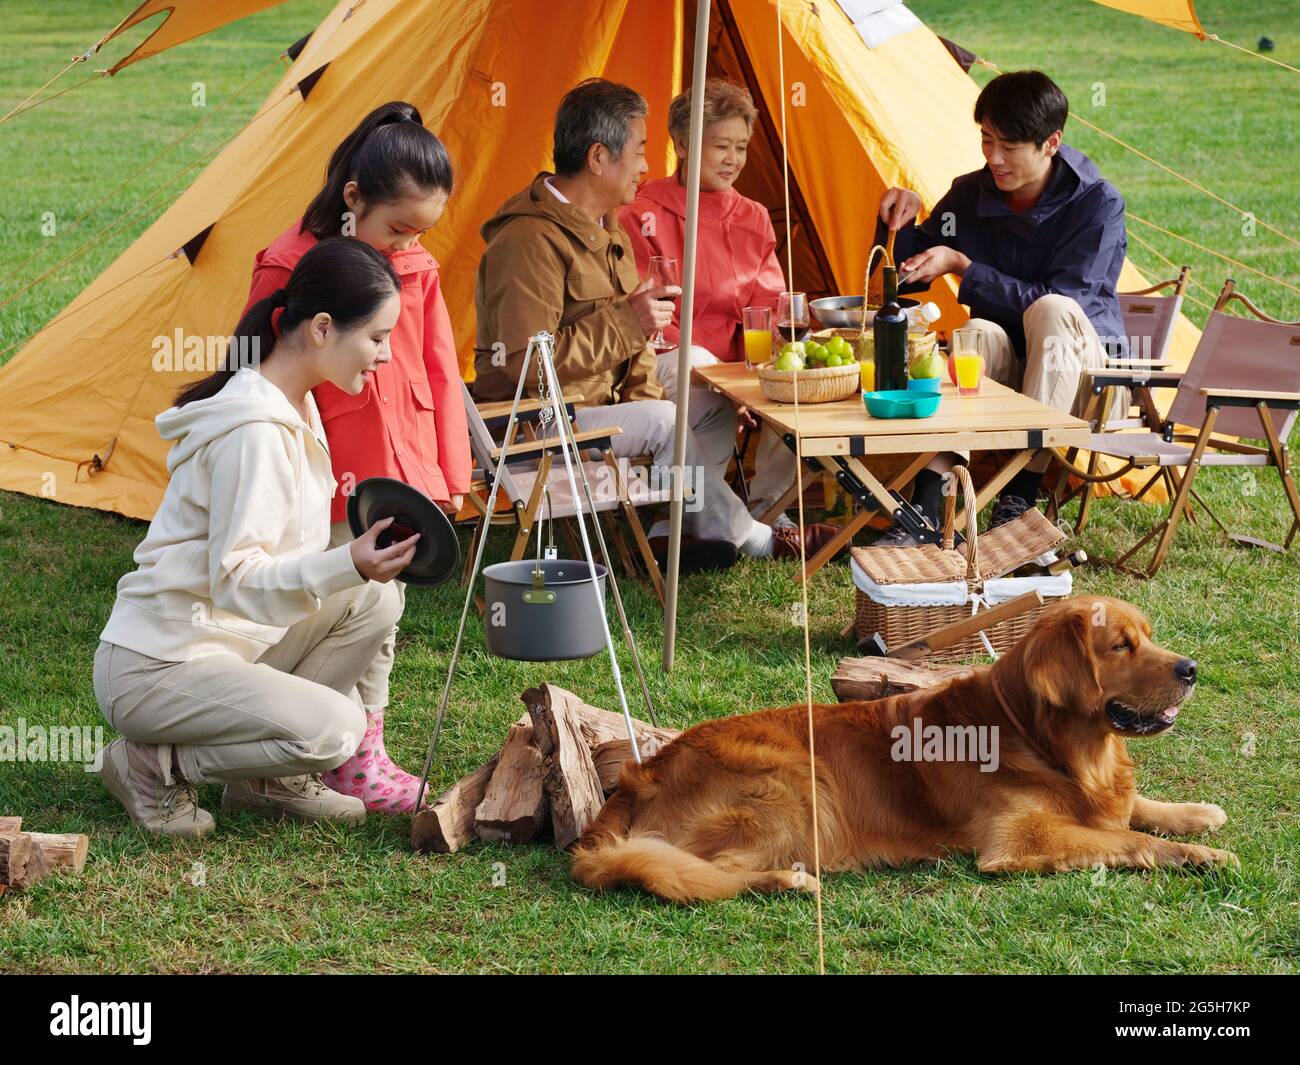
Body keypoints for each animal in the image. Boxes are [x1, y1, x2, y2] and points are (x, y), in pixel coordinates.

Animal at [574, 595, 1232, 905]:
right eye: (1121, 646)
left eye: (1147, 637)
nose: (1192, 669)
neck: (1042, 739)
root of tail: (640, 774)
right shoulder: (1017, 840)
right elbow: (1126, 839)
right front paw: (1199, 856)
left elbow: (1133, 807)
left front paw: (1196, 814)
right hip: (794, 781)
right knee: (714, 873)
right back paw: (787, 881)